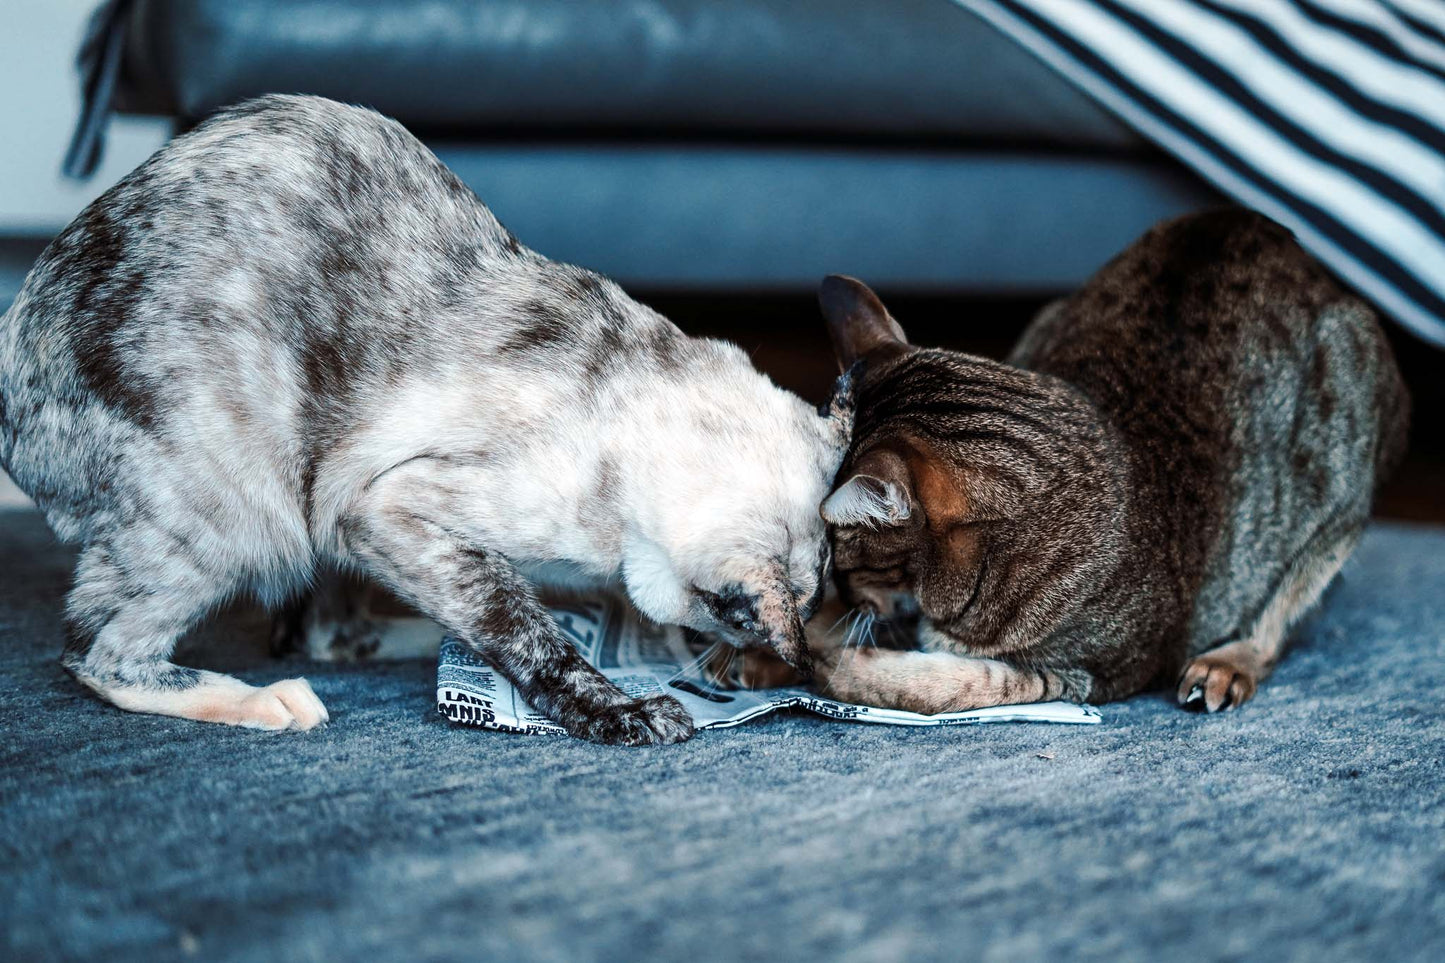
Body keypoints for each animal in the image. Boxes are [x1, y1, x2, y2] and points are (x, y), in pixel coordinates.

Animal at [0, 95, 843, 740]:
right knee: (98, 652)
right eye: (738, 623)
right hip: (245, 508)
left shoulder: (363, 515)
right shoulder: (387, 507)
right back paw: (273, 700)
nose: (738, 666)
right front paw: (622, 704)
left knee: (319, 631)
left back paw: (416, 639)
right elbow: (521, 626)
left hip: (309, 501)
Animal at [739, 209, 1404, 708]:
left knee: (1281, 615)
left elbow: (938, 684)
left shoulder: (1079, 673)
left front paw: (825, 657)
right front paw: (773, 649)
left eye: (843, 562)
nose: (845, 598)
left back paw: (1225, 663)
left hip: (1342, 493)